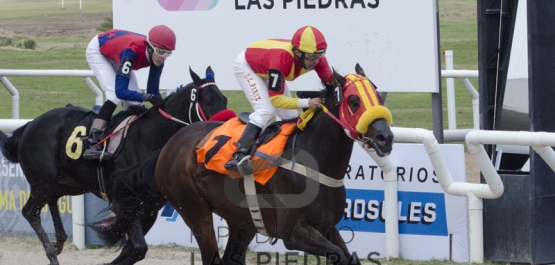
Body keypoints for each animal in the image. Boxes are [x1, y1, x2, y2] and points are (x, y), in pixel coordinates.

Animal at [0, 66, 232, 264]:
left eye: (225, 98)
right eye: (208, 101)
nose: (223, 127)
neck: (149, 137)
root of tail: (29, 125)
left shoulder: (150, 208)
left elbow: (132, 250)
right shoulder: (125, 200)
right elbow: (138, 248)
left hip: (68, 184)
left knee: (52, 200)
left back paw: (58, 242)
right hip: (43, 180)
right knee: (30, 211)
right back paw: (51, 251)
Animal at [92, 64, 396, 264]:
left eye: (379, 96)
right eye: (354, 101)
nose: (385, 137)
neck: (315, 163)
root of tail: (170, 144)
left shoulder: (328, 227)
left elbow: (349, 257)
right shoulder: (294, 232)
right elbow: (340, 256)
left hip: (242, 221)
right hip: (192, 208)